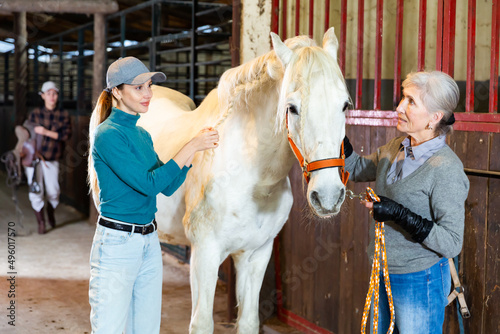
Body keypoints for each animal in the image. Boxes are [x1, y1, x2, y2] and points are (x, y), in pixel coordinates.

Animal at [135, 28, 350, 332]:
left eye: (344, 105)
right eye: (292, 108)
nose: (329, 196)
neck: (251, 181)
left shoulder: (255, 254)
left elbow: (248, 321)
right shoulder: (205, 255)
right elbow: (201, 323)